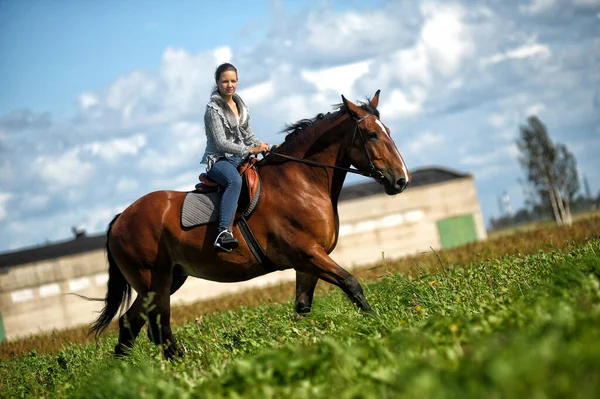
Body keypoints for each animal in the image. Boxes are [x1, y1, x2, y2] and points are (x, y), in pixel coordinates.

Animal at [90, 91, 408, 360]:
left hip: (167, 280)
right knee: (159, 328)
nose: (401, 180)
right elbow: (352, 284)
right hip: (153, 282)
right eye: (371, 134)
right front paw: (379, 325)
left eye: (389, 132)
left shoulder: (307, 263)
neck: (301, 181)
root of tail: (120, 219)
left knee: (130, 324)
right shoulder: (308, 253)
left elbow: (302, 308)